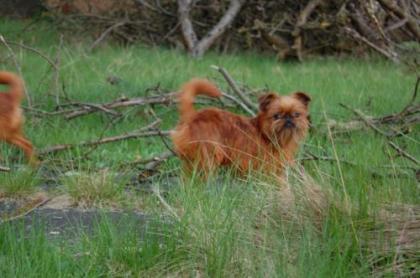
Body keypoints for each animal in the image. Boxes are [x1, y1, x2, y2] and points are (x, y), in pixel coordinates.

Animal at [171, 77, 312, 176]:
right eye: (276, 116)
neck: (264, 133)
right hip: (208, 155)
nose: (288, 119)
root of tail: (193, 116)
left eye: (296, 114)